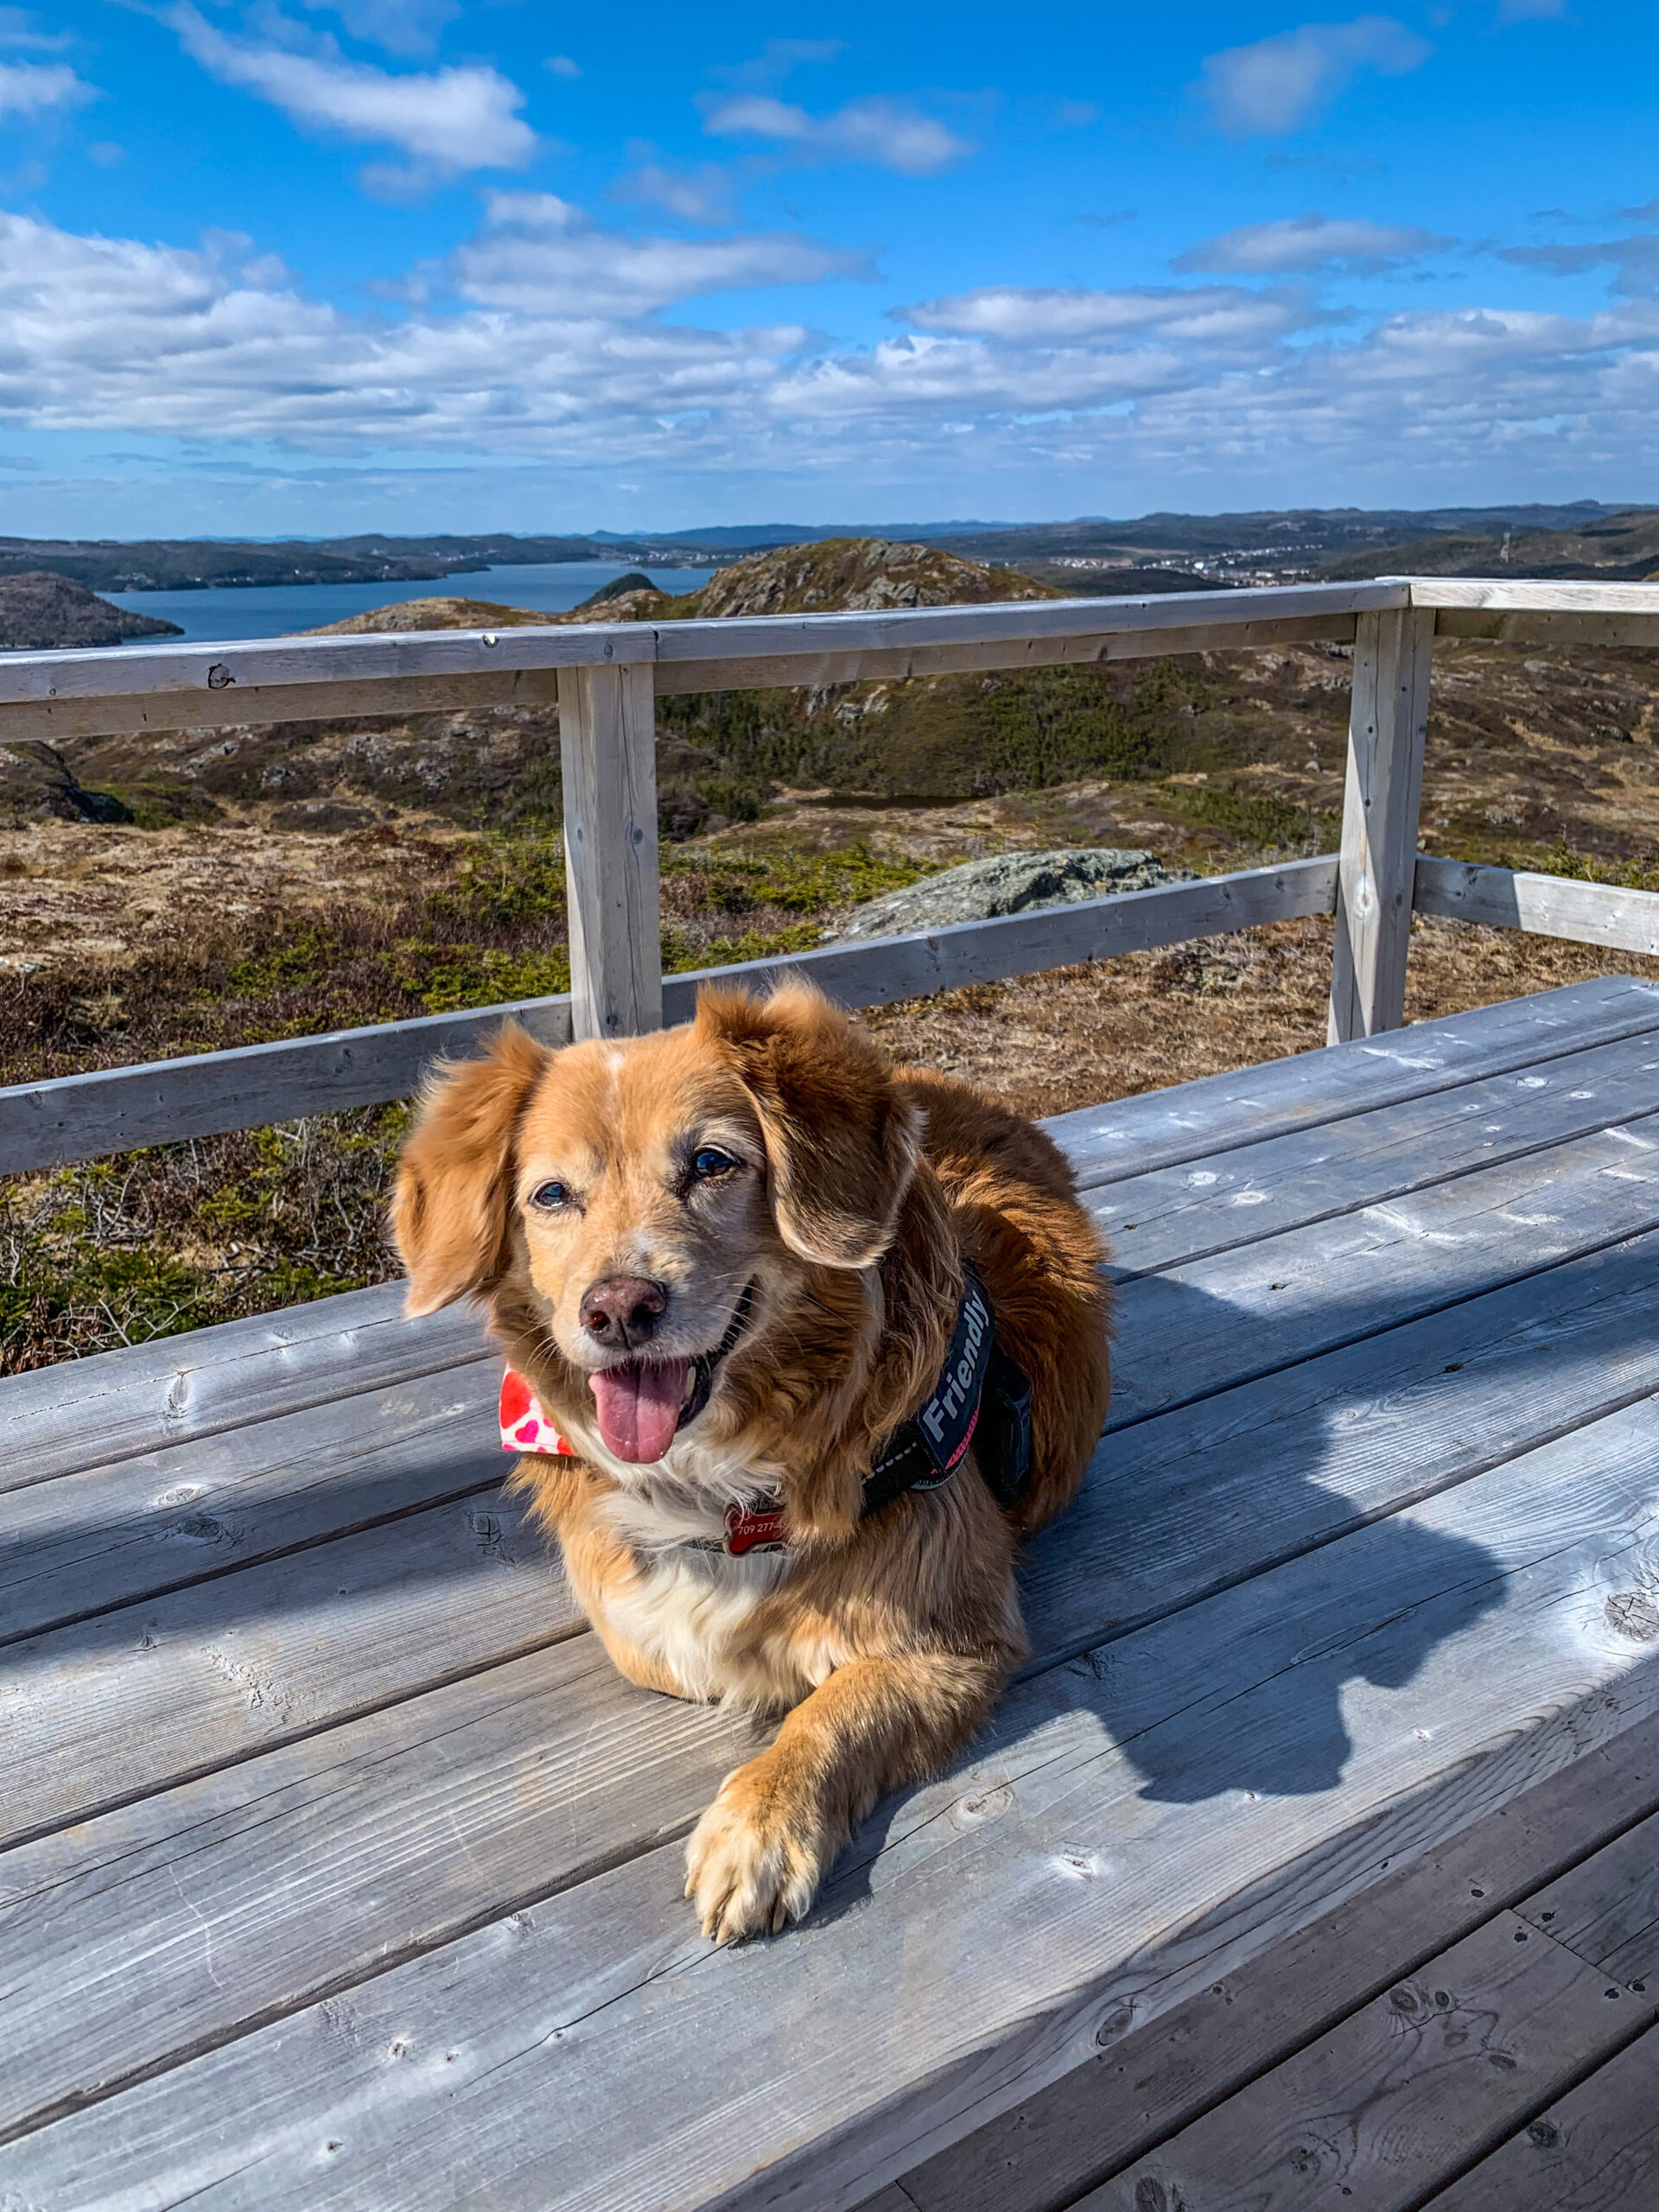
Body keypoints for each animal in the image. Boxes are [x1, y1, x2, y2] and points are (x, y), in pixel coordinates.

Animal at [393, 982, 1110, 1937]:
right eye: (551, 1194)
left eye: (710, 1163)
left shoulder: (960, 1628)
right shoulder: (630, 1612)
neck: (721, 1479)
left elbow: (836, 1704)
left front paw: (761, 1824)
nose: (617, 1308)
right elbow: (687, 1649)